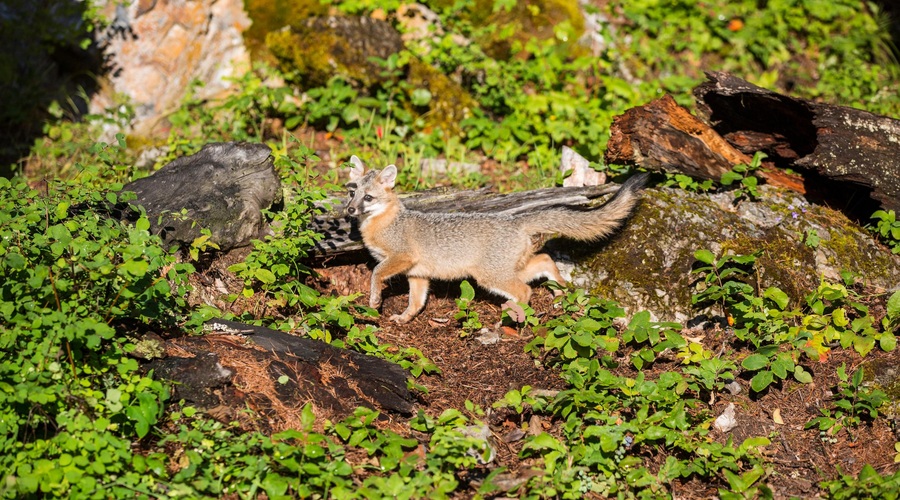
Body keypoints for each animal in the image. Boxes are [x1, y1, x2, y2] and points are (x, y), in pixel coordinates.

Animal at [344, 154, 648, 322]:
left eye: (368, 198)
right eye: (352, 193)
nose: (349, 210)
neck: (383, 222)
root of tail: (514, 220)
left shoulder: (401, 257)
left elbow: (376, 273)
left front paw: (375, 300)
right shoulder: (417, 274)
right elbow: (416, 303)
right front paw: (404, 318)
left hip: (489, 277)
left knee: (525, 291)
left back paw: (512, 318)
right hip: (507, 270)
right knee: (545, 259)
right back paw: (561, 292)